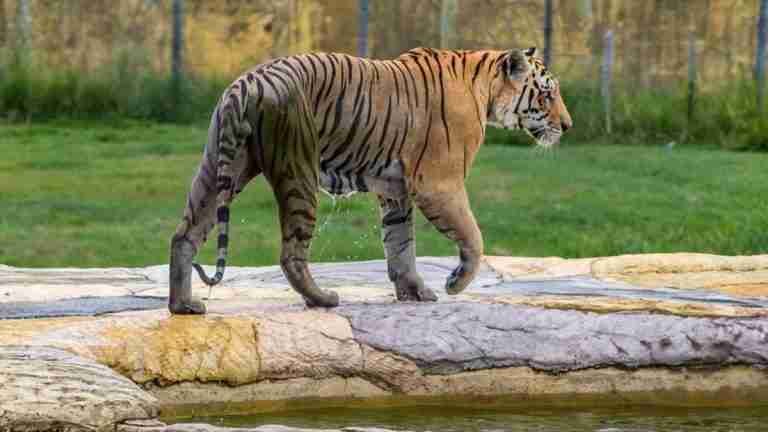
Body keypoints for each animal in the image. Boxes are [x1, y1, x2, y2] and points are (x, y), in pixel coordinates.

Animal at [168, 47, 572, 314]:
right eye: (547, 93)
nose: (568, 126)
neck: (485, 87)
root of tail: (248, 81)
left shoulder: (395, 191)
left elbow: (400, 245)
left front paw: (414, 292)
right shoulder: (440, 184)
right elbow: (473, 237)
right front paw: (454, 283)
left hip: (220, 168)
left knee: (184, 235)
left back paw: (183, 305)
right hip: (298, 168)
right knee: (292, 252)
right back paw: (322, 299)